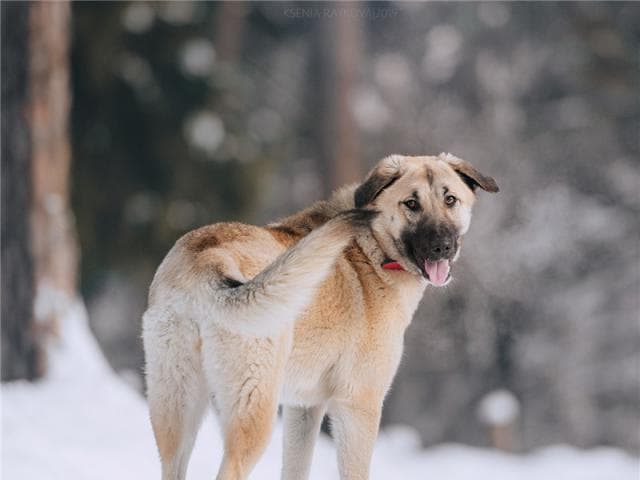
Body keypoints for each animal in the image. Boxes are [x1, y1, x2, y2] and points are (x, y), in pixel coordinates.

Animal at [144, 154, 500, 480]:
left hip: (177, 411)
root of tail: (208, 260)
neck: (371, 250)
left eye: (450, 199)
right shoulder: (358, 405)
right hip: (254, 413)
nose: (443, 247)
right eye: (411, 203)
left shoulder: (304, 408)